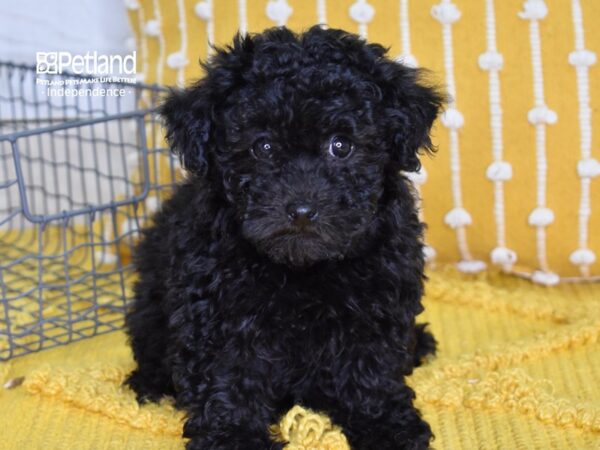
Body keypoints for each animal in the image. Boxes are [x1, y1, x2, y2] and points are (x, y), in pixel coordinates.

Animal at [126, 25, 442, 450]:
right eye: (263, 147)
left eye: (341, 146)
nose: (302, 210)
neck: (302, 271)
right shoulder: (220, 313)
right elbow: (228, 377)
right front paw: (234, 437)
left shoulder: (378, 304)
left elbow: (370, 373)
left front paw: (388, 426)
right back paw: (150, 383)